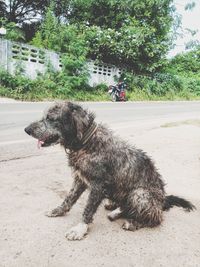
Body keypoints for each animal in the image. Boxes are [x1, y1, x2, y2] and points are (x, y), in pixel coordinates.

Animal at [24, 101, 195, 242]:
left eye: (51, 118)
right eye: (44, 116)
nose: (27, 130)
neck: (86, 142)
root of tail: (163, 200)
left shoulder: (98, 185)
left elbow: (87, 210)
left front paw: (80, 229)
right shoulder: (80, 179)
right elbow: (69, 198)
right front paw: (58, 211)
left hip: (139, 194)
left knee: (156, 218)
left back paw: (133, 222)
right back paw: (115, 210)